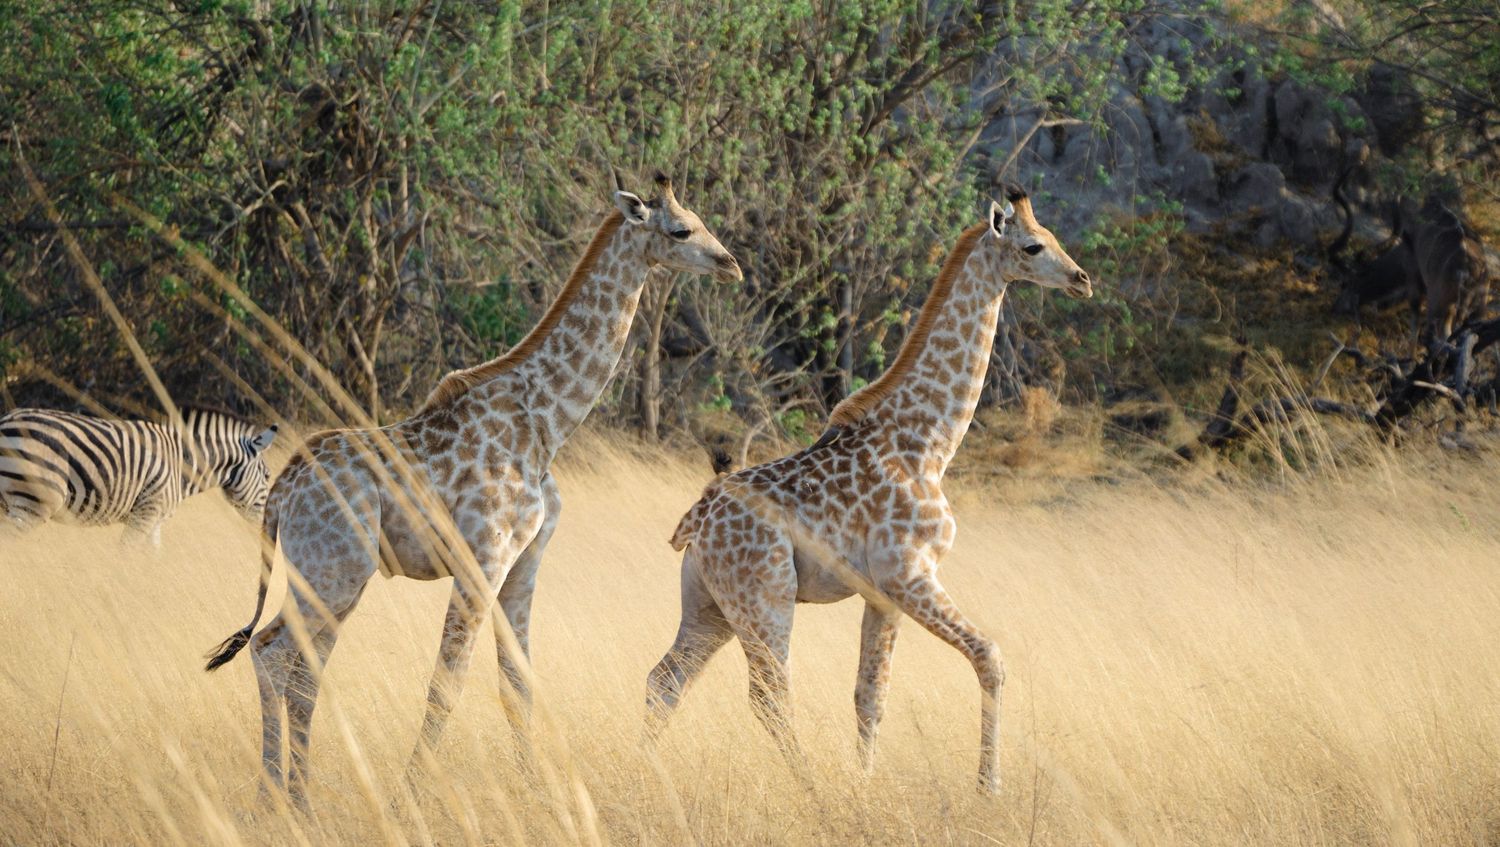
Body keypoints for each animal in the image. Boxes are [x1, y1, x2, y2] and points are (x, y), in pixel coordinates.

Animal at [203, 173, 742, 808]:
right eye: (681, 229)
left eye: (701, 221)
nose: (730, 264)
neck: (547, 421)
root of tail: (283, 492)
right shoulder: (481, 557)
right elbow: (447, 683)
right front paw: (408, 799)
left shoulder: (524, 561)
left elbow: (517, 684)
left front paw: (537, 792)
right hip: (333, 570)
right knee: (273, 654)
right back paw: (276, 801)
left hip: (336, 577)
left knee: (302, 670)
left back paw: (298, 802)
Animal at [645, 185, 1091, 794]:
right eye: (1032, 246)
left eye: (1053, 238)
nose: (1081, 279)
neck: (929, 443)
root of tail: (697, 521)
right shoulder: (909, 573)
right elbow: (991, 658)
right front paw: (988, 788)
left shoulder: (883, 594)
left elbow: (870, 696)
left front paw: (866, 787)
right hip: (765, 596)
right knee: (768, 696)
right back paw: (810, 790)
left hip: (709, 604)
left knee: (665, 682)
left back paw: (643, 774)